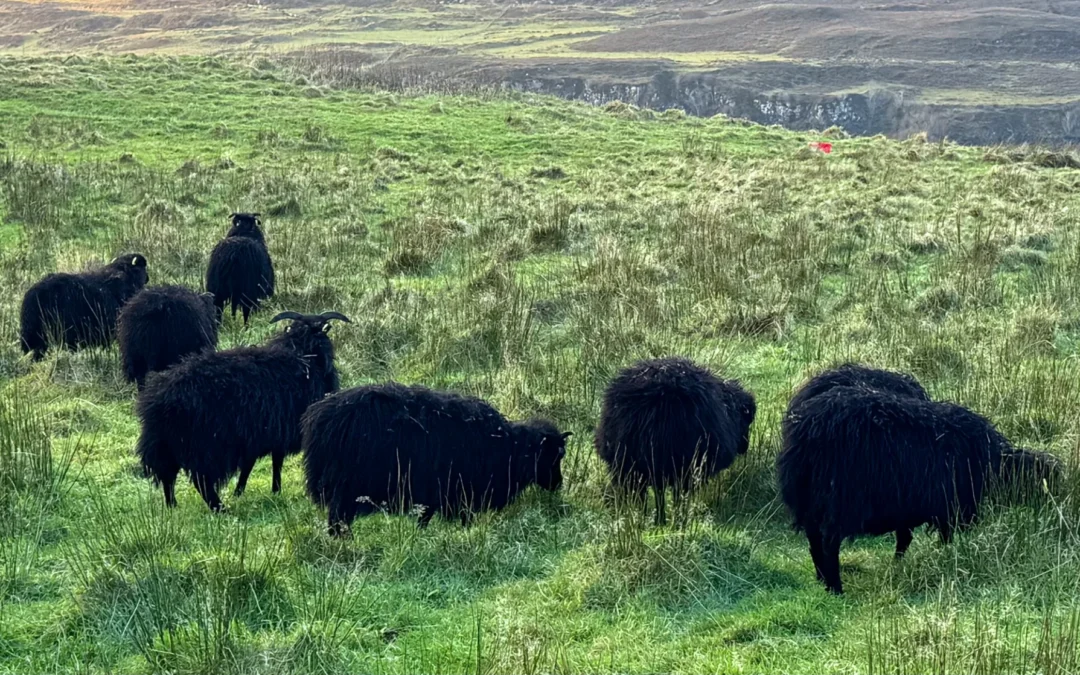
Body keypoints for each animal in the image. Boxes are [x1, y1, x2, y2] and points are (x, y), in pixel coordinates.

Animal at [135, 310, 349, 511]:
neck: (304, 357)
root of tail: (160, 398)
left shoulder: (257, 436)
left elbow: (251, 465)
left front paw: (240, 491)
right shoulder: (276, 430)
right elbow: (274, 461)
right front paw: (274, 489)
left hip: (165, 442)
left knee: (167, 474)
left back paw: (172, 506)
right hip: (205, 444)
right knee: (201, 479)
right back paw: (219, 508)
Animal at [302, 382, 571, 535]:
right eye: (551, 456)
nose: (557, 484)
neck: (506, 448)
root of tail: (321, 418)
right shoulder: (452, 490)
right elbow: (453, 518)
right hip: (346, 486)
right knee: (337, 519)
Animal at [777, 386, 1062, 594]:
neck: (995, 463)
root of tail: (806, 430)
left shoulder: (911, 508)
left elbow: (905, 539)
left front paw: (899, 565)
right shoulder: (954, 509)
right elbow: (943, 538)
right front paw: (944, 557)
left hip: (808, 500)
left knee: (814, 541)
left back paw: (822, 580)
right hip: (840, 499)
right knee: (828, 543)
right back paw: (836, 587)